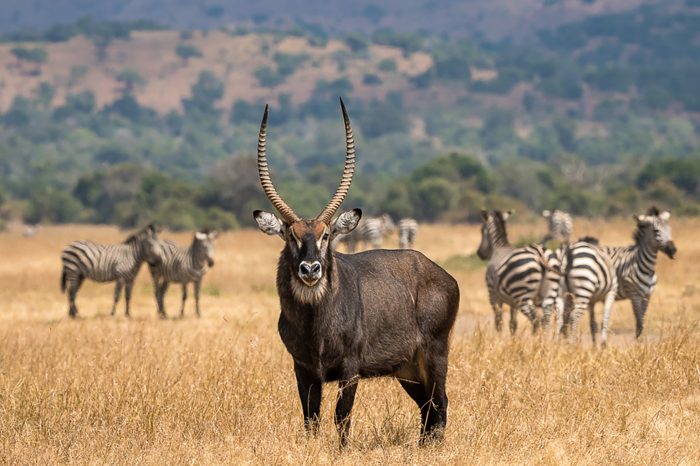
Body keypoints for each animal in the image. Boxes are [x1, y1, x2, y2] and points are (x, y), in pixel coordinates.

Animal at [252, 99, 460, 448]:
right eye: (291, 235)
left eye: (326, 235)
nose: (311, 268)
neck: (316, 322)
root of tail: (444, 275)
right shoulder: (303, 369)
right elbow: (311, 420)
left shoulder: (350, 368)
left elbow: (342, 417)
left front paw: (341, 451)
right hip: (407, 369)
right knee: (426, 408)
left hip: (434, 353)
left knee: (440, 403)